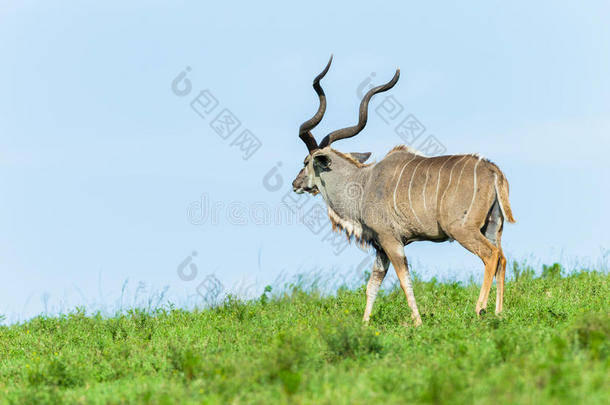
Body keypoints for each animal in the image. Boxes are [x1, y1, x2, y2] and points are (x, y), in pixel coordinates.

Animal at [290, 56, 512, 326]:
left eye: (305, 162)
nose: (295, 183)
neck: (362, 183)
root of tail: (492, 170)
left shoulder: (391, 240)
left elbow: (405, 281)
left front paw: (417, 322)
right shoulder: (380, 246)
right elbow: (372, 285)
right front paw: (365, 324)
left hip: (463, 231)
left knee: (490, 256)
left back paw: (480, 310)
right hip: (492, 227)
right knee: (502, 258)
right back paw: (499, 312)